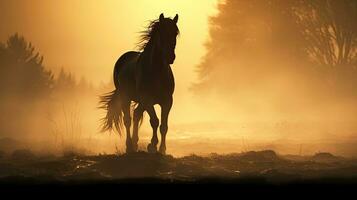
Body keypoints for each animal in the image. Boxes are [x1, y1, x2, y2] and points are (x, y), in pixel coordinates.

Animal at [99, 13, 178, 155]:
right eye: (161, 33)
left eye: (175, 33)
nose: (170, 57)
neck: (156, 70)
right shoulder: (147, 99)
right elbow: (155, 121)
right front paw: (152, 145)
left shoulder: (167, 101)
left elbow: (164, 126)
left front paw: (162, 149)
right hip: (126, 98)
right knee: (128, 120)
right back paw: (130, 146)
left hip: (141, 102)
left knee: (136, 114)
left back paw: (135, 144)